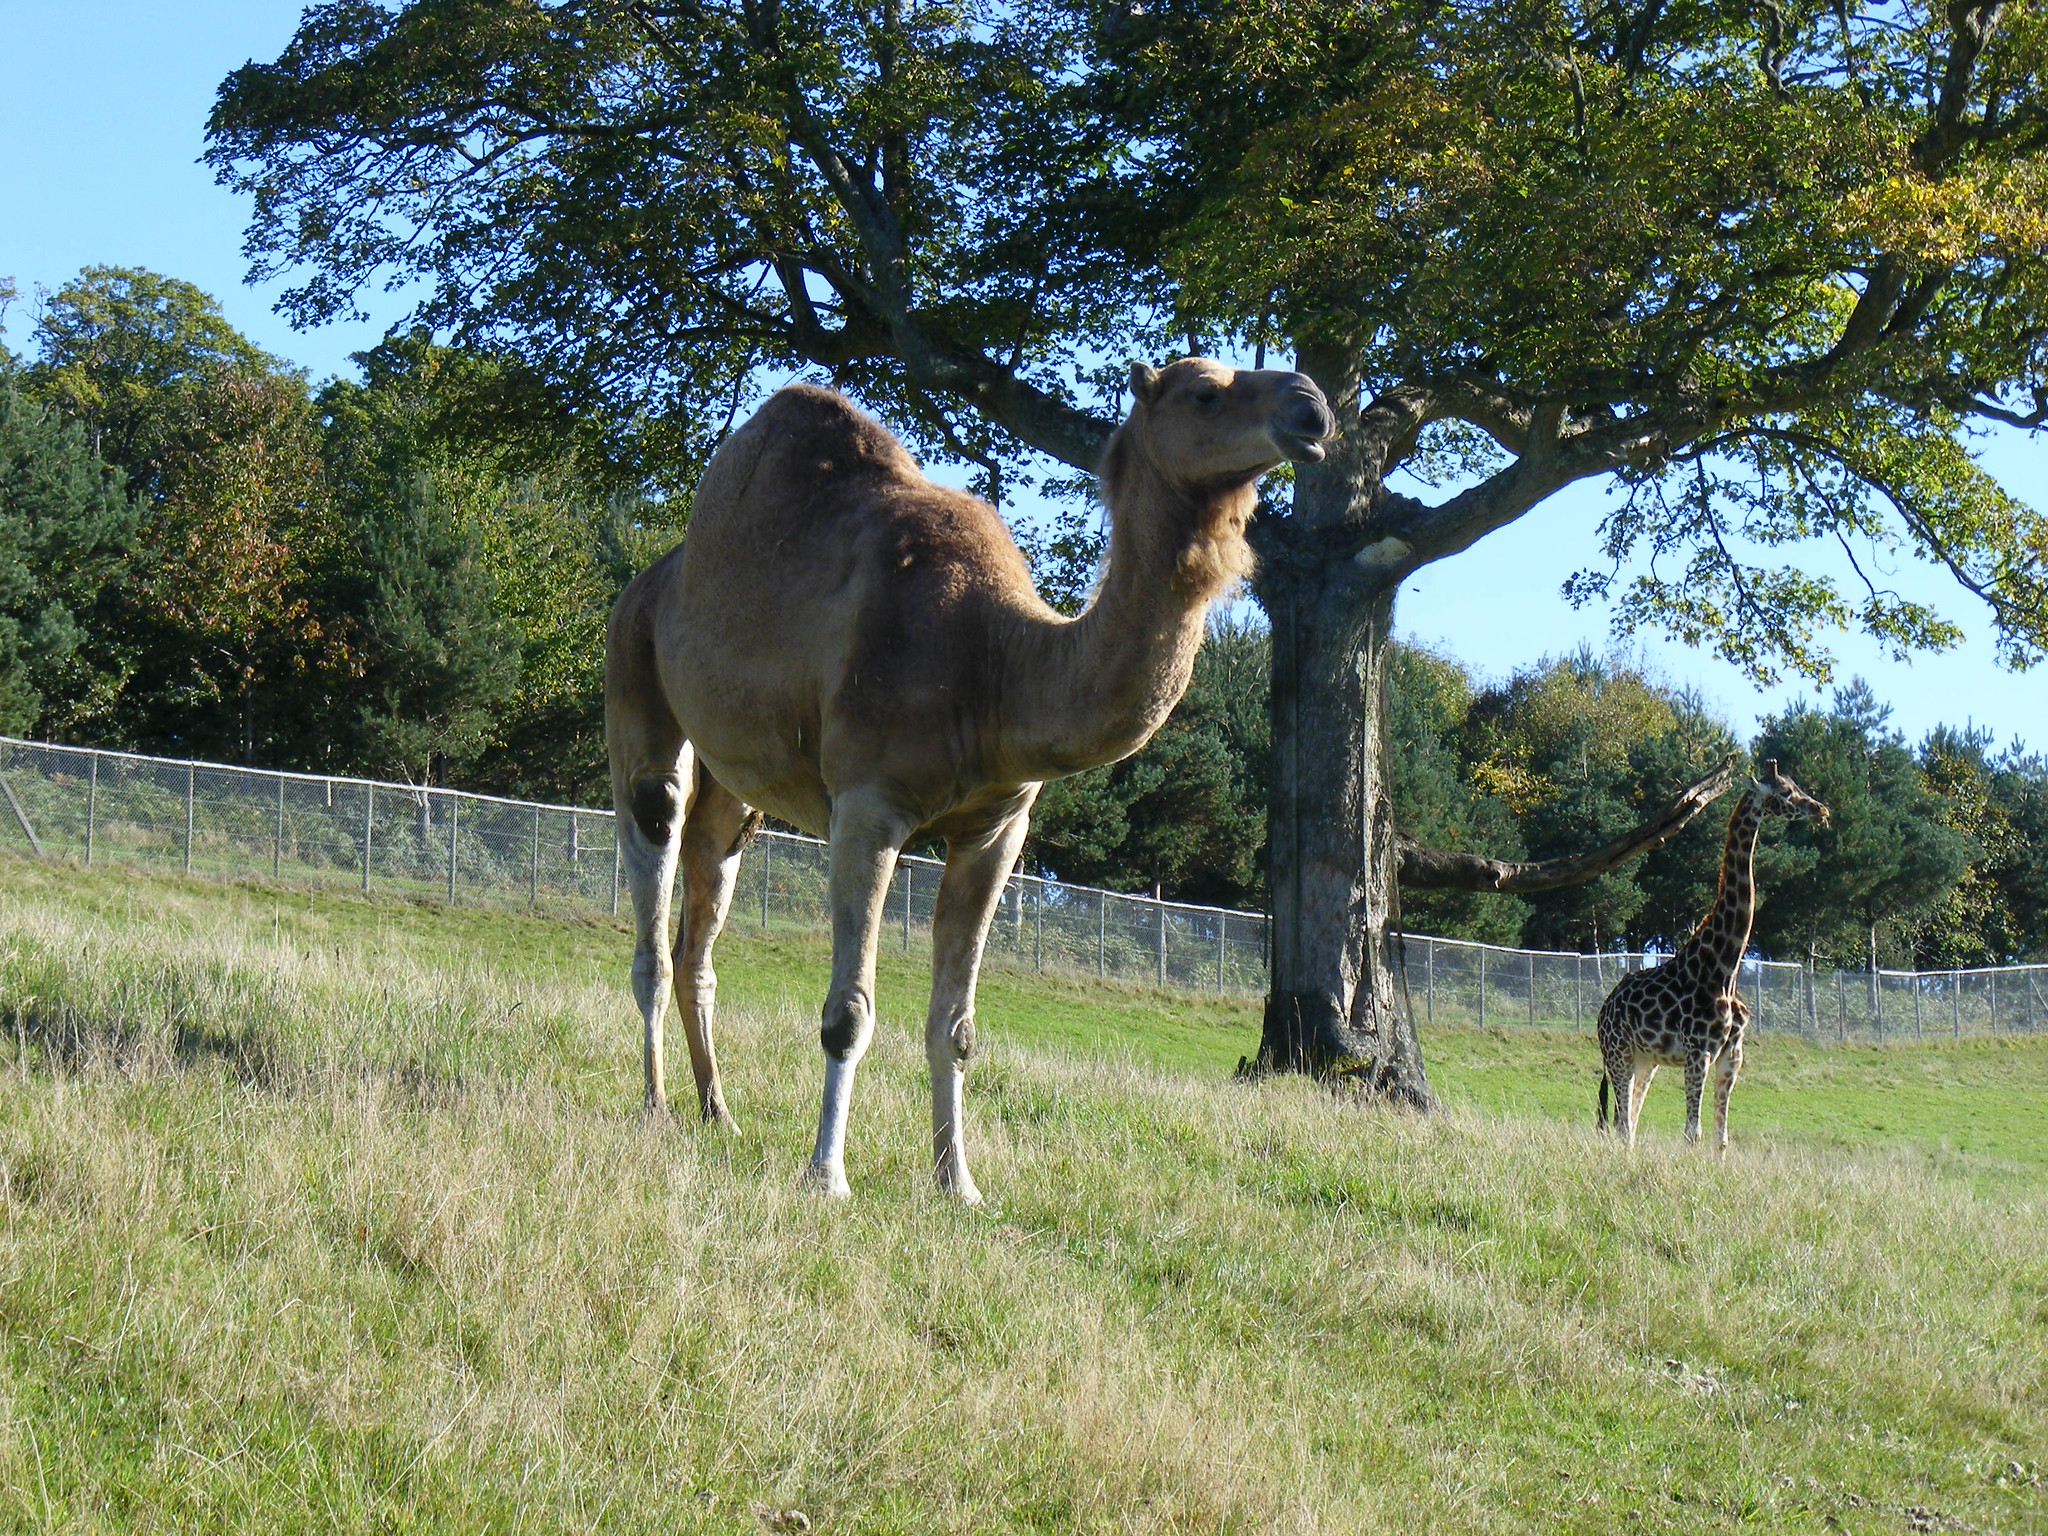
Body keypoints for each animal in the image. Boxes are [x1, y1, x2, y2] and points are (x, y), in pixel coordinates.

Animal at [598, 360, 1335, 1204]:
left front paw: (960, 1184)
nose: (1311, 407)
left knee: (701, 926)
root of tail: (651, 582)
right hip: (635, 674)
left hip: (736, 793)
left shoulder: (996, 829)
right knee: (654, 891)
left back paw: (719, 1113)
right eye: (1206, 393)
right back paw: (655, 1108)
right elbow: (849, 1012)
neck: (996, 661)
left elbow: (955, 1025)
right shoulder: (868, 805)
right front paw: (828, 1175)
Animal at [1589, 765, 1835, 1146]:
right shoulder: (1699, 1051)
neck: (1724, 967)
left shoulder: (1732, 1054)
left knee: (1627, 1119)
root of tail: (1604, 1010)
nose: (1821, 810)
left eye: (1796, 786)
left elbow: (1721, 1139)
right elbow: (1693, 1133)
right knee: (1623, 1125)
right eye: (1784, 793)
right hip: (1618, 1053)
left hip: (1646, 1060)